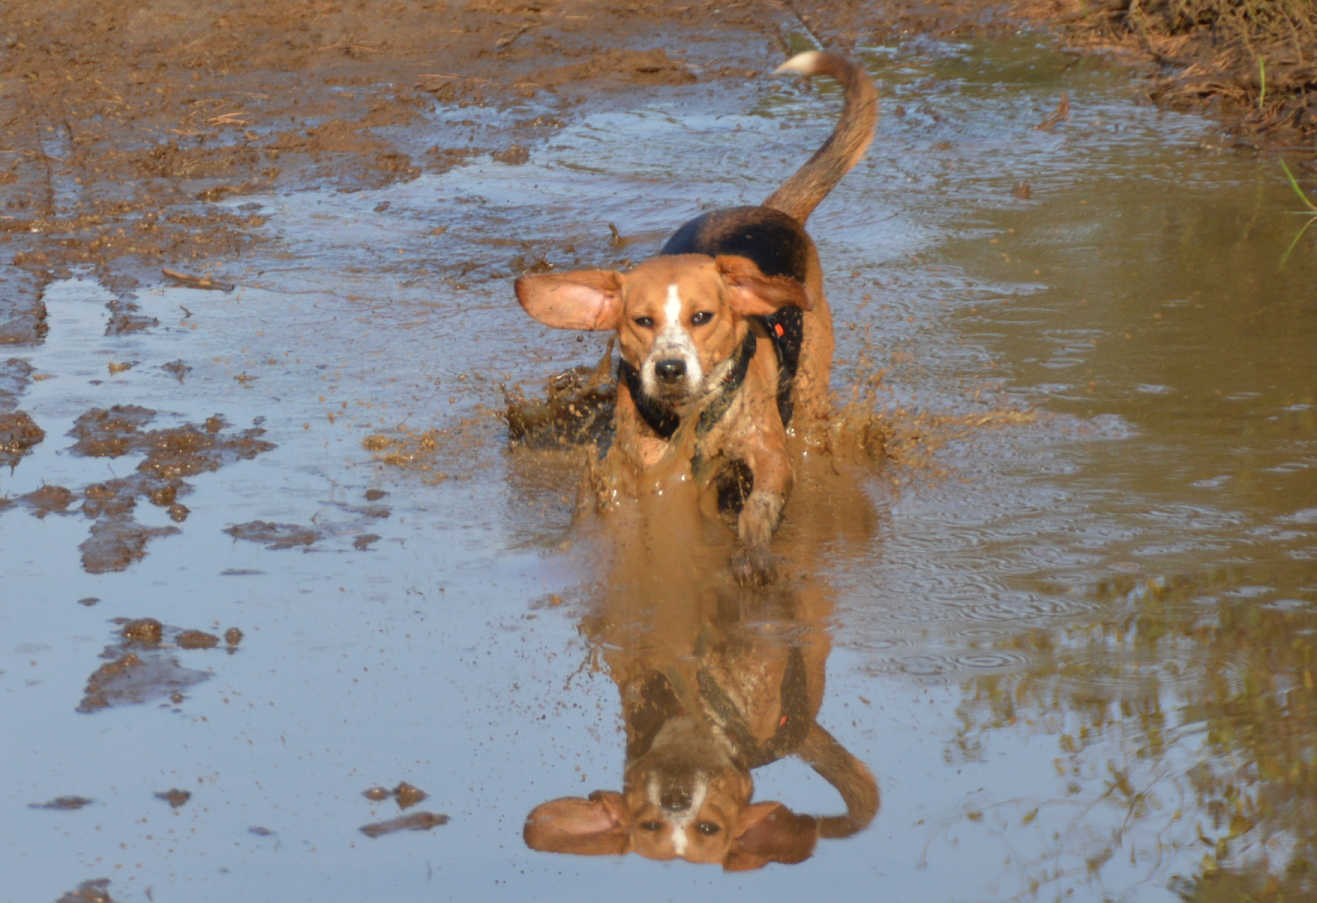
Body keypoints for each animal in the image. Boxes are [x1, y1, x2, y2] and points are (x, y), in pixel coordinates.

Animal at [513, 51, 874, 587]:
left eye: (702, 316)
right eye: (641, 321)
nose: (669, 369)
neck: (695, 416)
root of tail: (773, 212)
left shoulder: (769, 454)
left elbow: (759, 507)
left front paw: (751, 554)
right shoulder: (641, 462)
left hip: (810, 384)